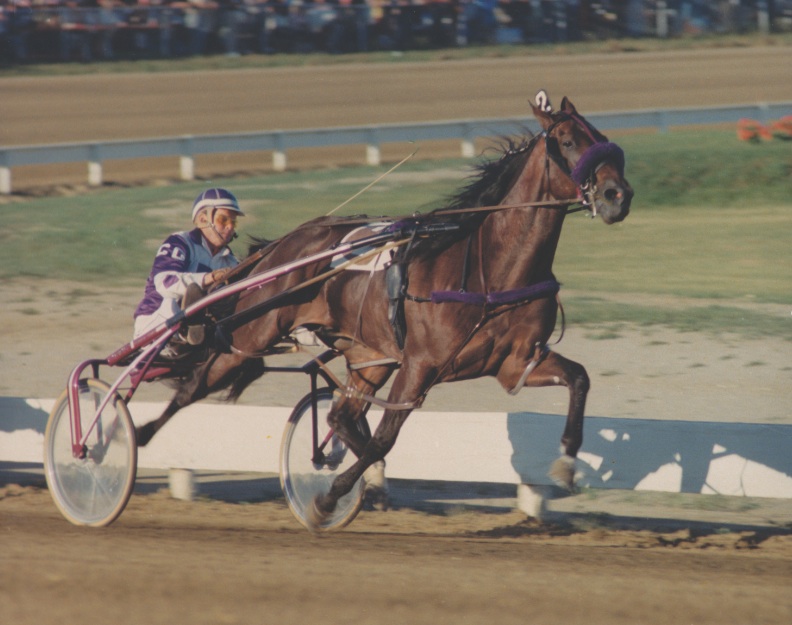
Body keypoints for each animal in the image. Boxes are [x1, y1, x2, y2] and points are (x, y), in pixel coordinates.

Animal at [135, 92, 633, 527]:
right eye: (567, 140)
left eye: (601, 134)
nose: (617, 195)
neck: (491, 269)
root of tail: (288, 243)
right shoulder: (419, 365)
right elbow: (383, 440)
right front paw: (328, 498)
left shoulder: (515, 363)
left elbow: (579, 378)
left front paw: (566, 463)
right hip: (252, 334)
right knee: (195, 384)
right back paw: (132, 435)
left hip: (367, 356)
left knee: (339, 416)